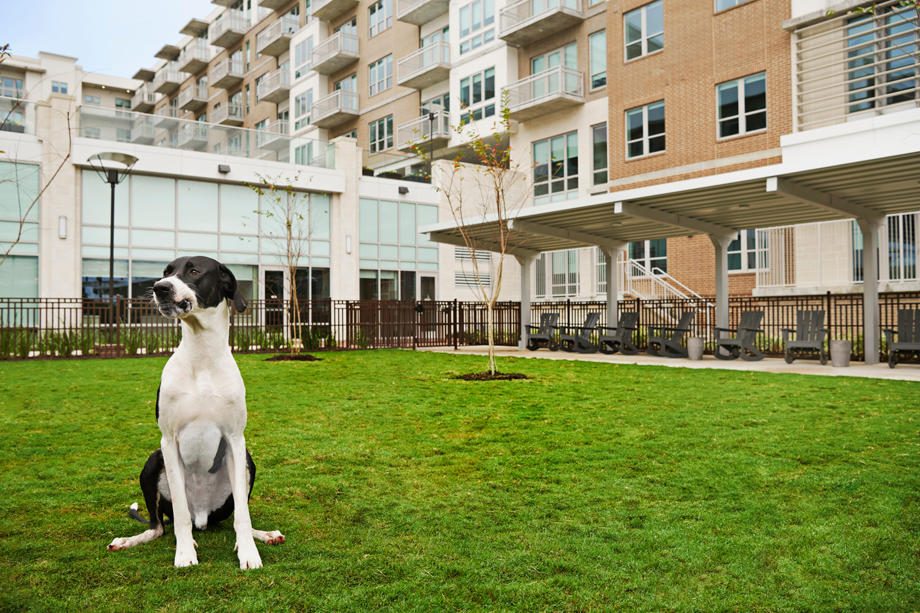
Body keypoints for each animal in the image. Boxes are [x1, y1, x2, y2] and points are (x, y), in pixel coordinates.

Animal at [107, 256, 282, 568]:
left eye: (194, 271)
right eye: (166, 272)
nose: (159, 288)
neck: (202, 356)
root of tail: (204, 516)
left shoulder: (235, 440)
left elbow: (243, 514)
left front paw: (249, 552)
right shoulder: (168, 441)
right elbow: (180, 516)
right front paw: (185, 552)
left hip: (247, 462)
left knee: (236, 515)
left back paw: (261, 534)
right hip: (154, 461)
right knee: (158, 525)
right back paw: (132, 539)